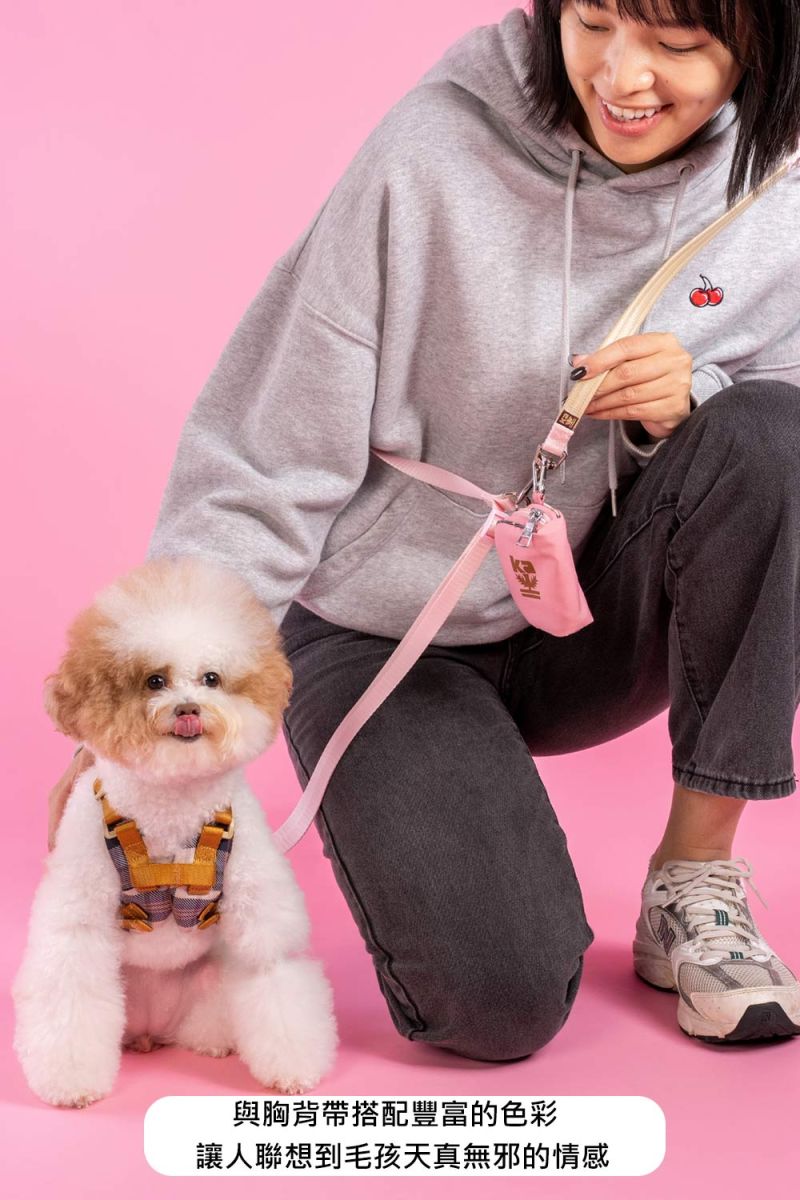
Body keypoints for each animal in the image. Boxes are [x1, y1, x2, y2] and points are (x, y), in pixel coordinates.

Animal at [13, 555, 337, 1107]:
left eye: (211, 678)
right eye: (153, 681)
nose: (188, 709)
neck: (170, 809)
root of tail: (151, 1028)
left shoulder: (260, 911)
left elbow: (272, 971)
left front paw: (293, 1070)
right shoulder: (79, 915)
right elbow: (71, 988)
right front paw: (73, 1082)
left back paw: (212, 1043)